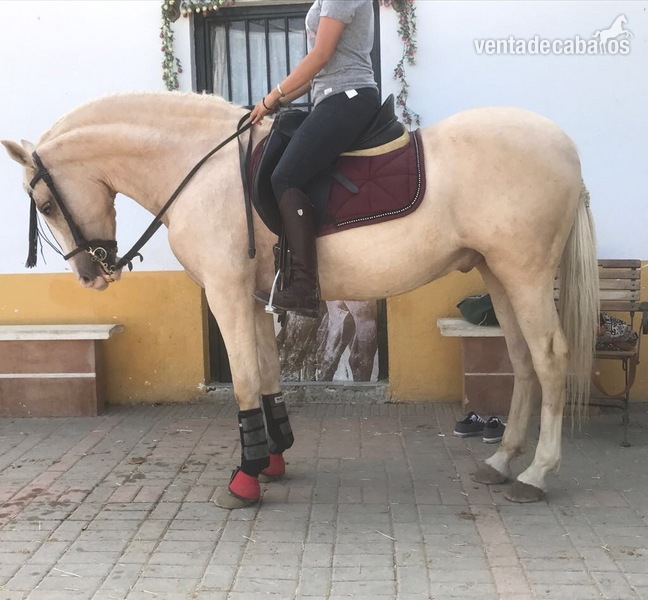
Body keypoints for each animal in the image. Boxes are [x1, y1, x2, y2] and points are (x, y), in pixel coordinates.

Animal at [2, 91, 598, 509]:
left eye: (44, 202)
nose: (90, 273)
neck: (203, 168)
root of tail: (566, 146)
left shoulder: (225, 291)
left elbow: (244, 376)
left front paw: (245, 478)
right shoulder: (253, 296)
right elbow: (267, 371)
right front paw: (273, 459)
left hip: (524, 273)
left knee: (549, 359)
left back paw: (536, 474)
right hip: (498, 274)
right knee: (522, 359)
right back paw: (501, 461)